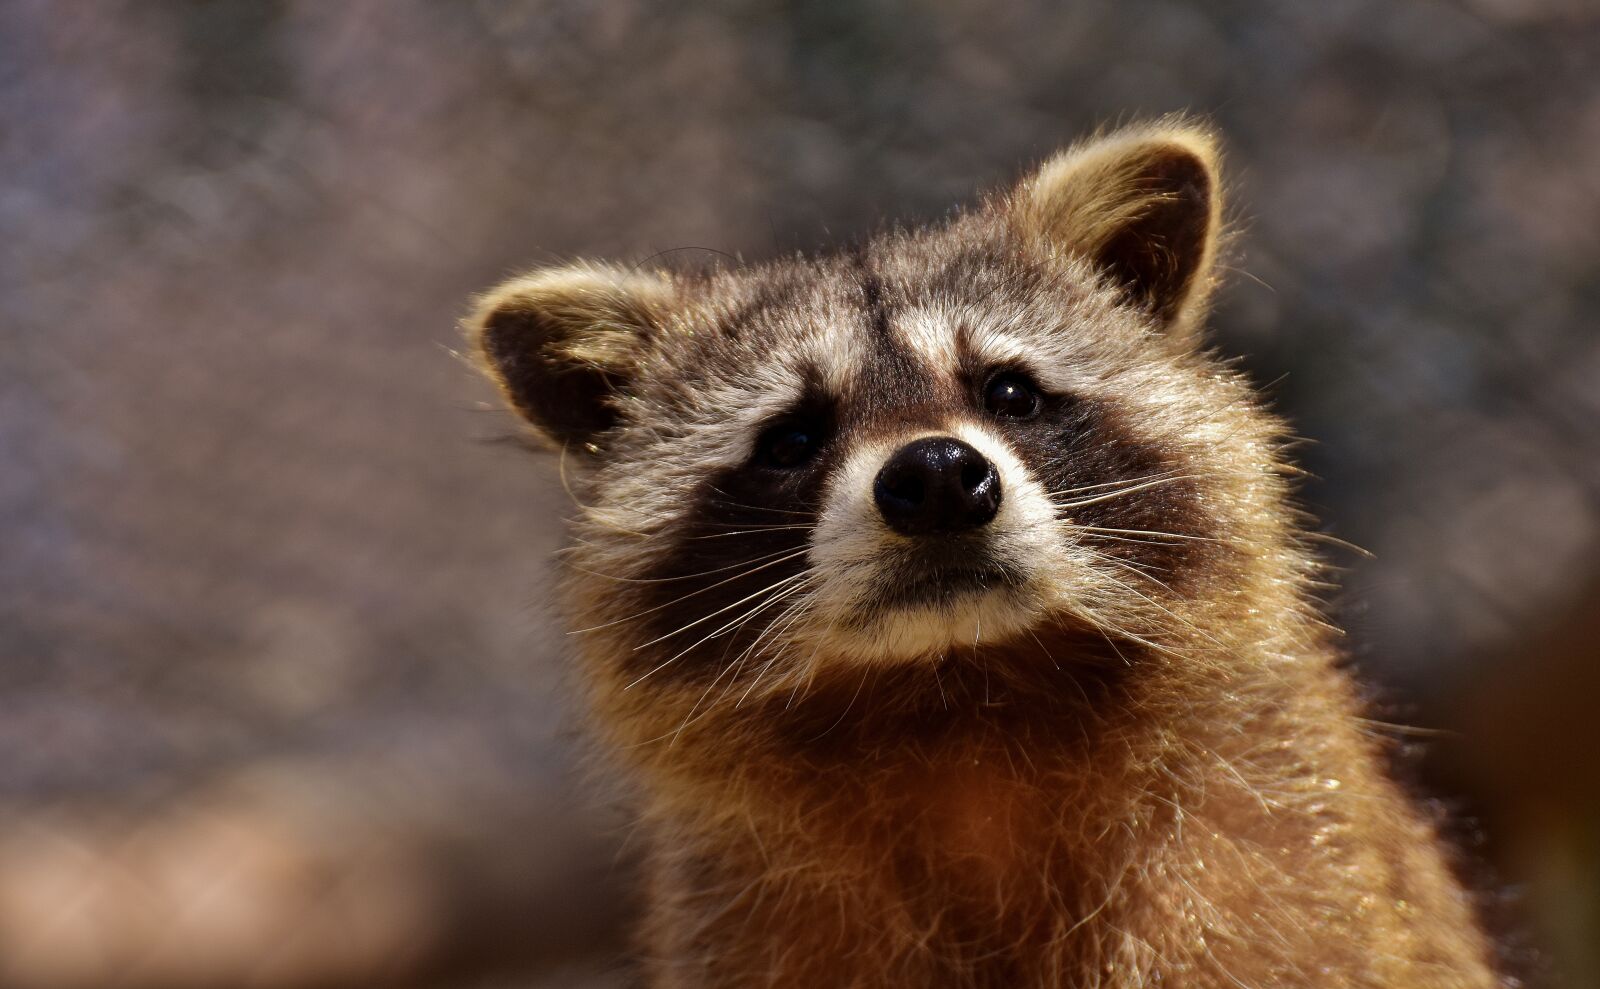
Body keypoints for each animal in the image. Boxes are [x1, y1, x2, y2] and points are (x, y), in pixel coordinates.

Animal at [466, 121, 1501, 988]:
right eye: (792, 439)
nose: (933, 476)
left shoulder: (1275, 858)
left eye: (1009, 391)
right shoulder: (749, 922)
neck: (963, 708)